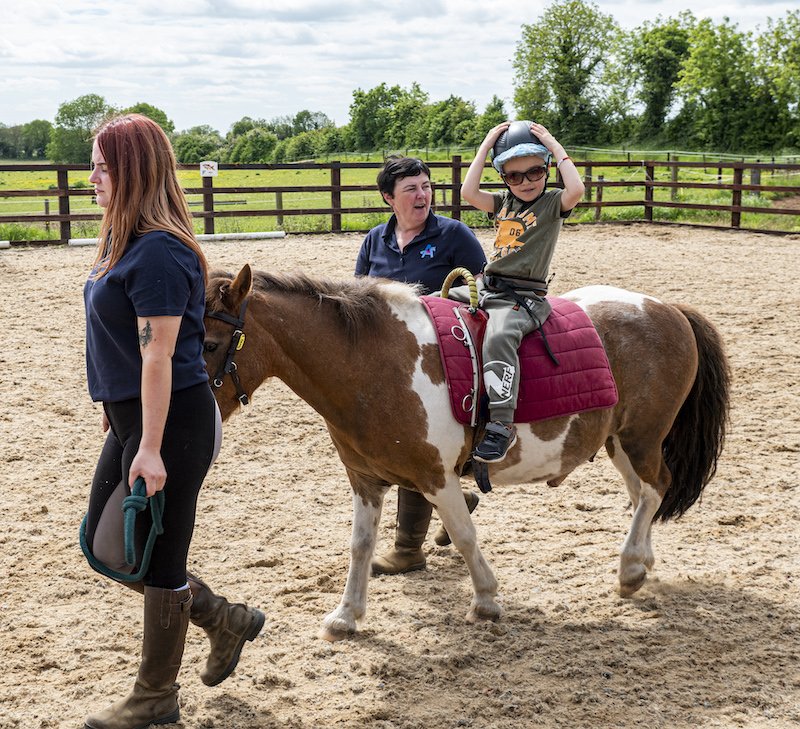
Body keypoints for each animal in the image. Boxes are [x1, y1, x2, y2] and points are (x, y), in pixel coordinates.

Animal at [203, 264, 730, 642]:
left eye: (208, 342)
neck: (372, 362)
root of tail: (668, 309)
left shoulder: (437, 477)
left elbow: (463, 534)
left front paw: (487, 600)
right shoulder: (365, 479)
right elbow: (360, 545)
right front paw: (347, 615)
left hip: (642, 436)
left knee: (656, 488)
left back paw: (631, 567)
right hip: (619, 441)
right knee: (643, 494)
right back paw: (642, 562)